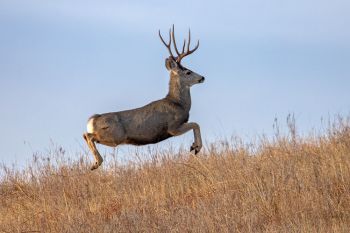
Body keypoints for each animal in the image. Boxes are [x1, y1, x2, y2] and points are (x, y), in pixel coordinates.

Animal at [83, 25, 204, 170]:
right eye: (188, 72)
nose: (202, 77)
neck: (178, 103)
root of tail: (93, 120)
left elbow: (196, 124)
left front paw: (194, 146)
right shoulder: (173, 127)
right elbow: (196, 124)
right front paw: (196, 147)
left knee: (86, 135)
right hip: (115, 135)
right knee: (88, 135)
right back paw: (96, 163)